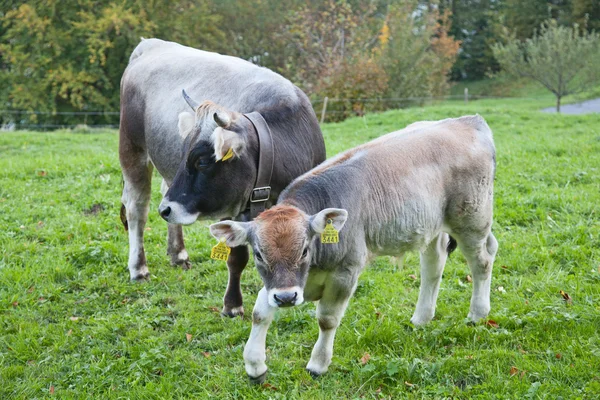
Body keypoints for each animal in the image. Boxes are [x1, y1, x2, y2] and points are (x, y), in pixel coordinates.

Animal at [117, 39, 324, 318]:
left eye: (201, 161)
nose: (166, 209)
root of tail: (150, 44)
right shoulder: (233, 211)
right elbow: (237, 259)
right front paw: (232, 305)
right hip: (132, 149)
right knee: (137, 209)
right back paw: (139, 268)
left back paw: (178, 253)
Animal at [211, 115, 496, 382]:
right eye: (259, 254)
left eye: (304, 250)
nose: (286, 299)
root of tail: (468, 120)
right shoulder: (283, 285)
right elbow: (260, 312)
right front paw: (255, 364)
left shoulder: (345, 272)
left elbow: (327, 320)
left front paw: (318, 364)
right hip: (433, 226)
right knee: (434, 265)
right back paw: (422, 317)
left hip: (472, 220)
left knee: (482, 259)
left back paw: (477, 313)